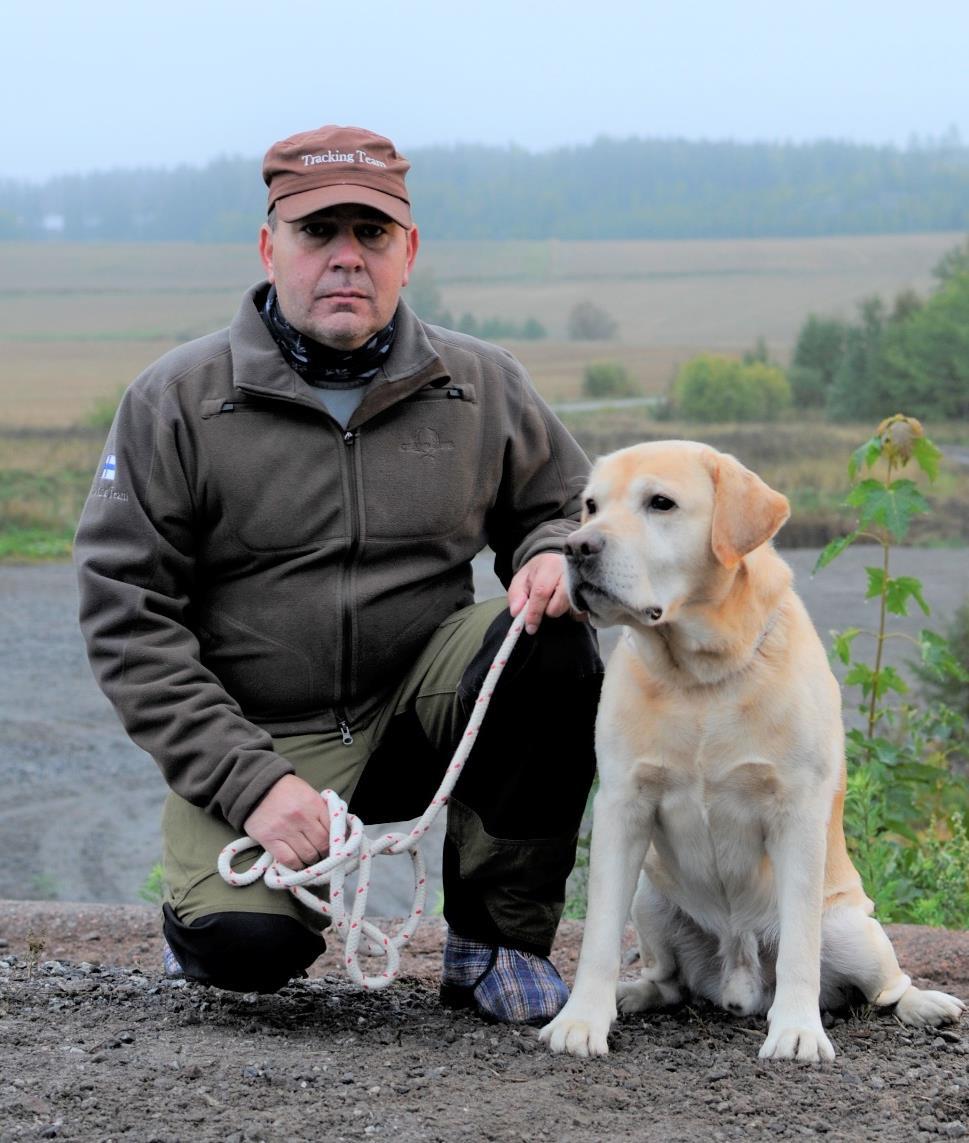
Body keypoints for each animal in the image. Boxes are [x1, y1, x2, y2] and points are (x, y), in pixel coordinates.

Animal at [541, 438, 964, 1060]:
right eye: (590, 506)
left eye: (660, 503)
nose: (576, 547)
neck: (700, 676)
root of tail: (736, 983)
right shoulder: (622, 806)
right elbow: (598, 934)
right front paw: (581, 1021)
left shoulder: (797, 811)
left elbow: (799, 951)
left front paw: (797, 1032)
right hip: (650, 895)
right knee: (671, 980)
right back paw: (634, 991)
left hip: (852, 928)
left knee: (885, 986)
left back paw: (924, 1004)